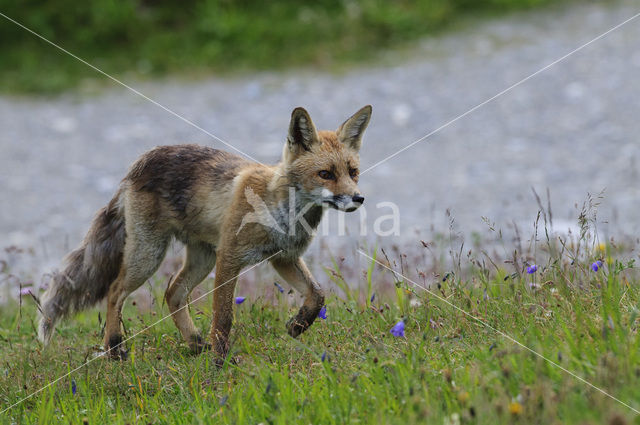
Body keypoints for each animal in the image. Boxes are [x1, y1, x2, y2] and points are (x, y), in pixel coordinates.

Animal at [37, 104, 372, 360]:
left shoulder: (283, 258)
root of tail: (139, 163)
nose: (358, 198)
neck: (282, 211)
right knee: (115, 291)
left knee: (173, 293)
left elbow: (317, 295)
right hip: (149, 255)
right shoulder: (230, 258)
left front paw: (298, 326)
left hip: (201, 257)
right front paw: (221, 362)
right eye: (325, 174)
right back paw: (115, 348)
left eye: (353, 172)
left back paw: (195, 343)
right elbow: (223, 317)